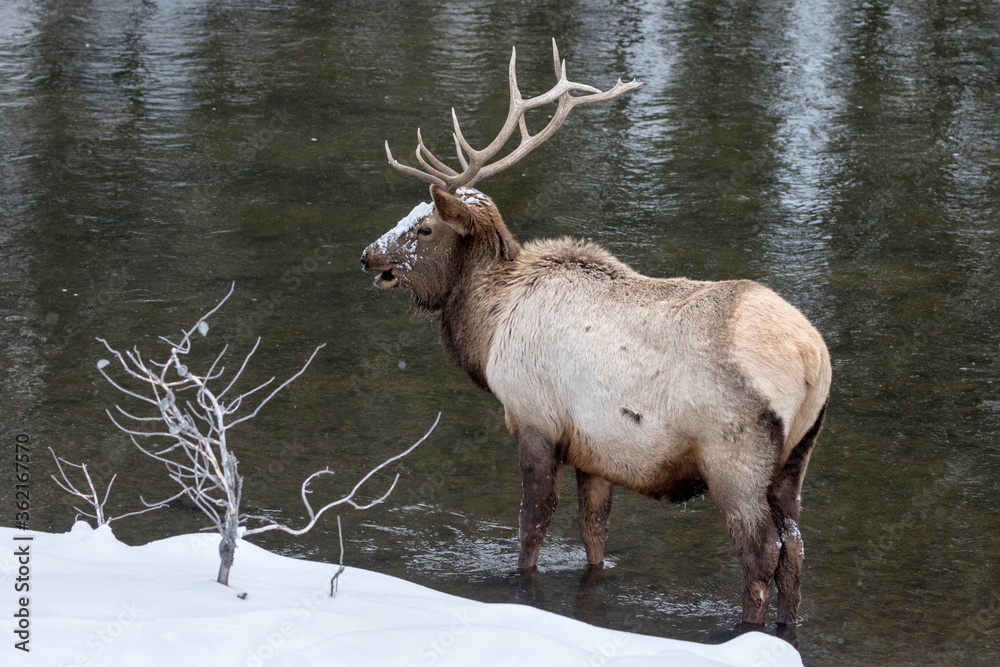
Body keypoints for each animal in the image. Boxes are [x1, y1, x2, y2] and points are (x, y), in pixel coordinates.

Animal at [364, 41, 832, 632]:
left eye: (425, 228)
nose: (368, 256)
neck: (489, 330)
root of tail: (813, 358)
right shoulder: (597, 451)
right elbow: (593, 535)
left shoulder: (534, 418)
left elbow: (532, 528)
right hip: (797, 459)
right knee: (795, 546)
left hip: (735, 458)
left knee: (760, 553)